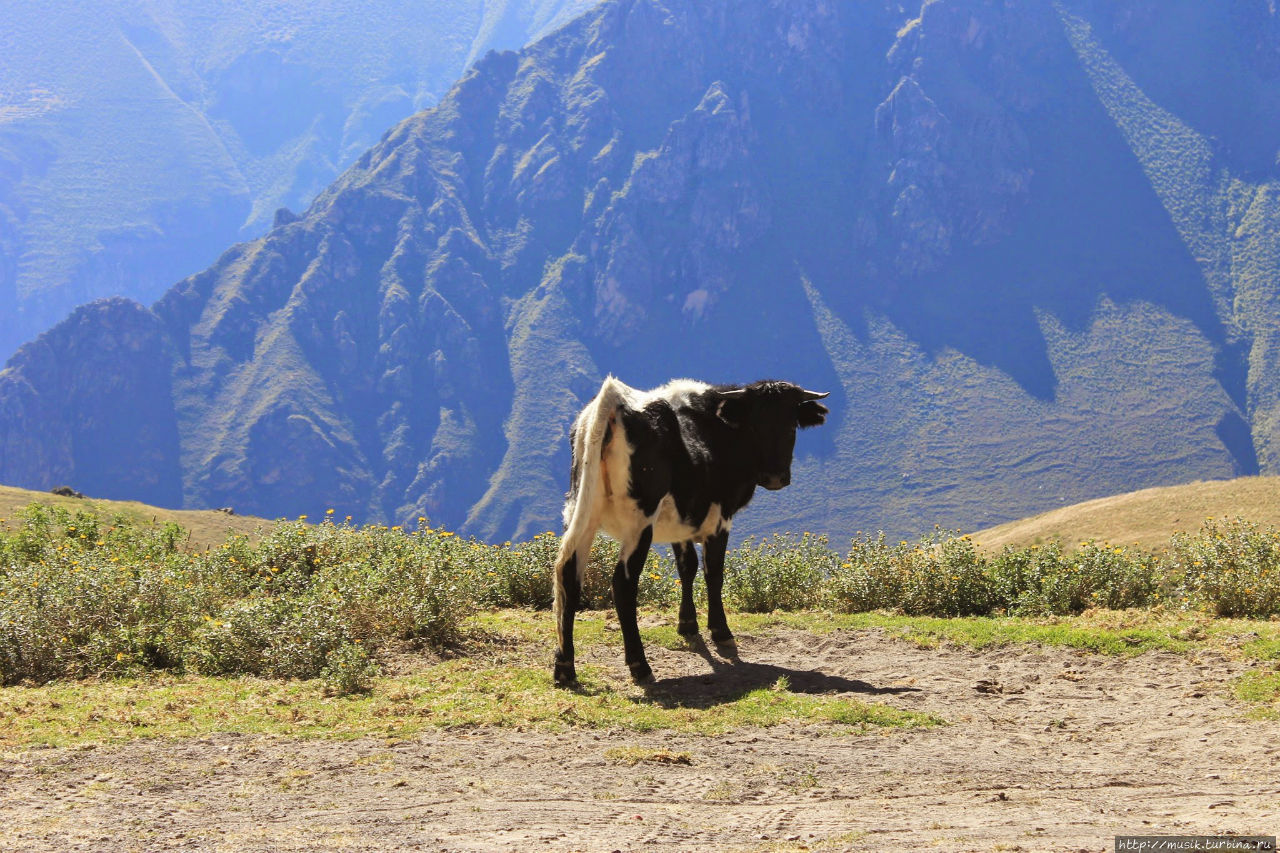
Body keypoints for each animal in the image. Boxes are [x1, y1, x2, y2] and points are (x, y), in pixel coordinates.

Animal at [550, 376, 829, 681]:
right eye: (755, 425)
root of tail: (613, 398)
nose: (775, 478)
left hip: (580, 510)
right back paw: (639, 665)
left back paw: (564, 667)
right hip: (640, 520)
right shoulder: (720, 517)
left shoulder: (681, 519)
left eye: (791, 425)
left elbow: (687, 567)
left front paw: (687, 624)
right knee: (623, 583)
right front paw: (720, 631)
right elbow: (713, 572)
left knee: (568, 575)